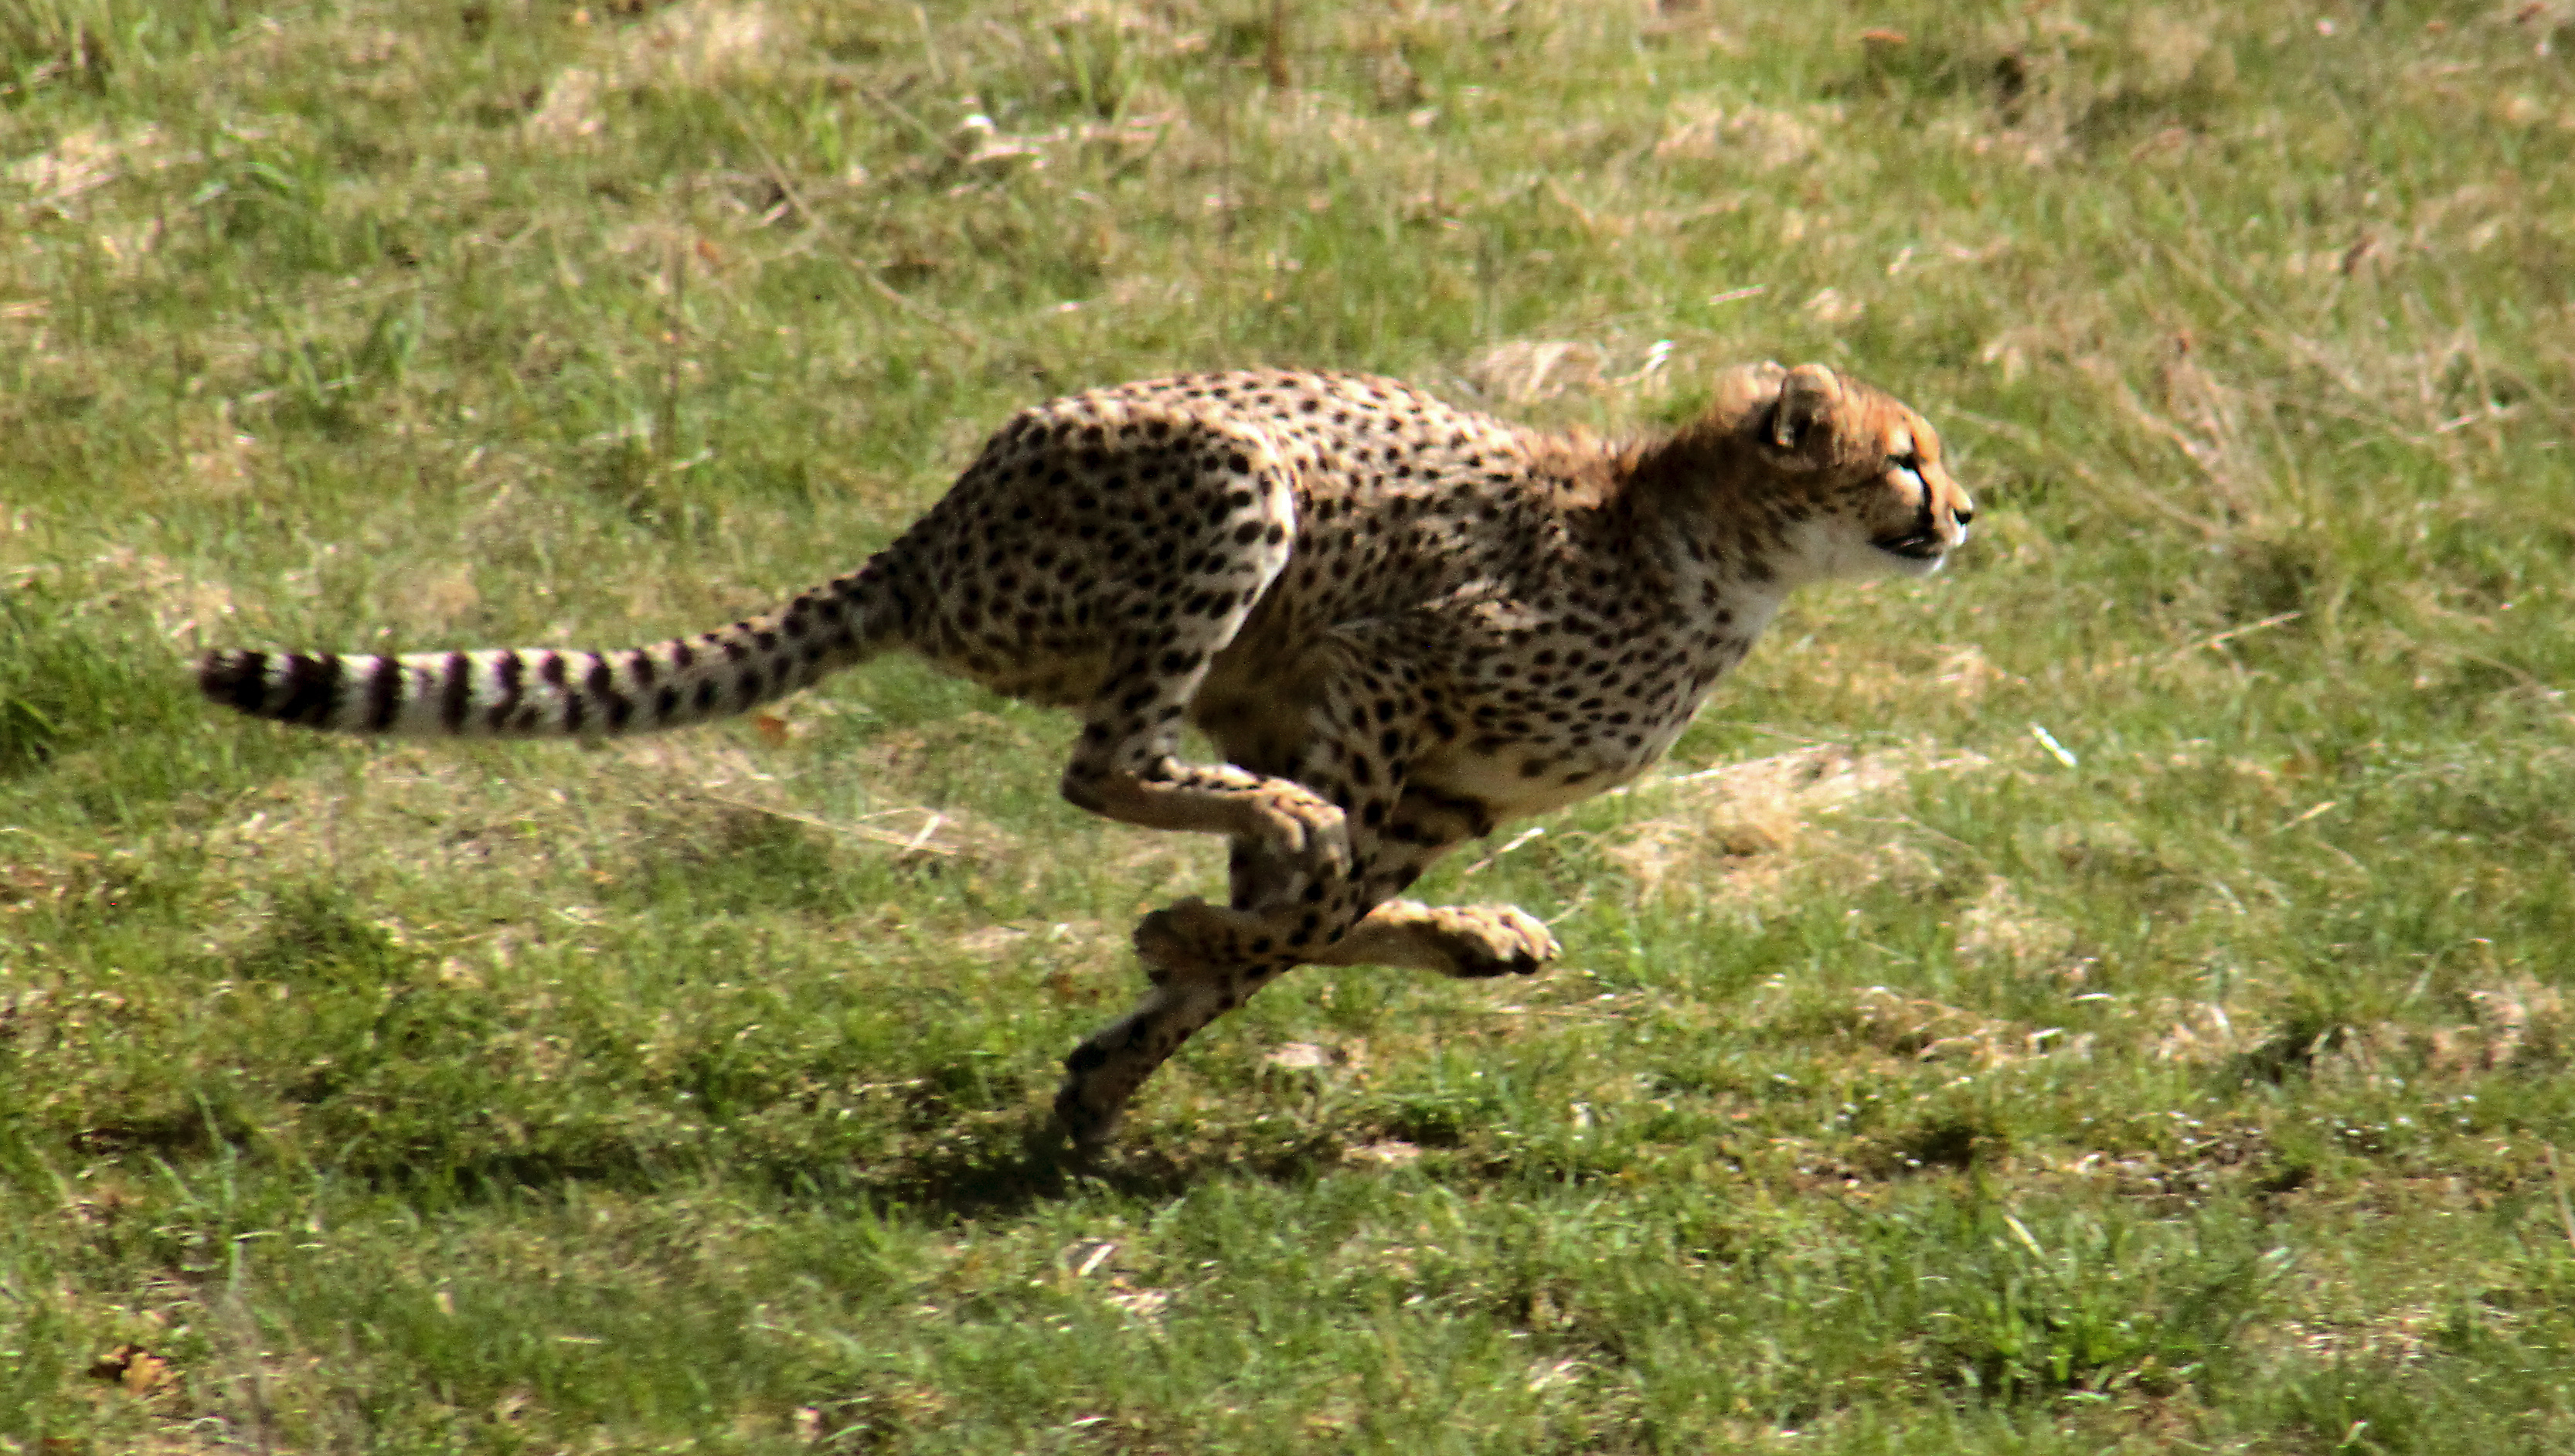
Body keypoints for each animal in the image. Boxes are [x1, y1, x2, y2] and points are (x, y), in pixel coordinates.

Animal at [197, 359, 1972, 1150]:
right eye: (1902, 460)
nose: (1967, 510)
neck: (1708, 555)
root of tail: (930, 533)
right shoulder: (1378, 672)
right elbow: (1294, 900)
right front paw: (1168, 950)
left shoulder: (1424, 776)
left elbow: (1302, 922)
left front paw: (1126, 1048)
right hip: (1231, 487)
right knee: (1107, 761)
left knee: (1193, 790)